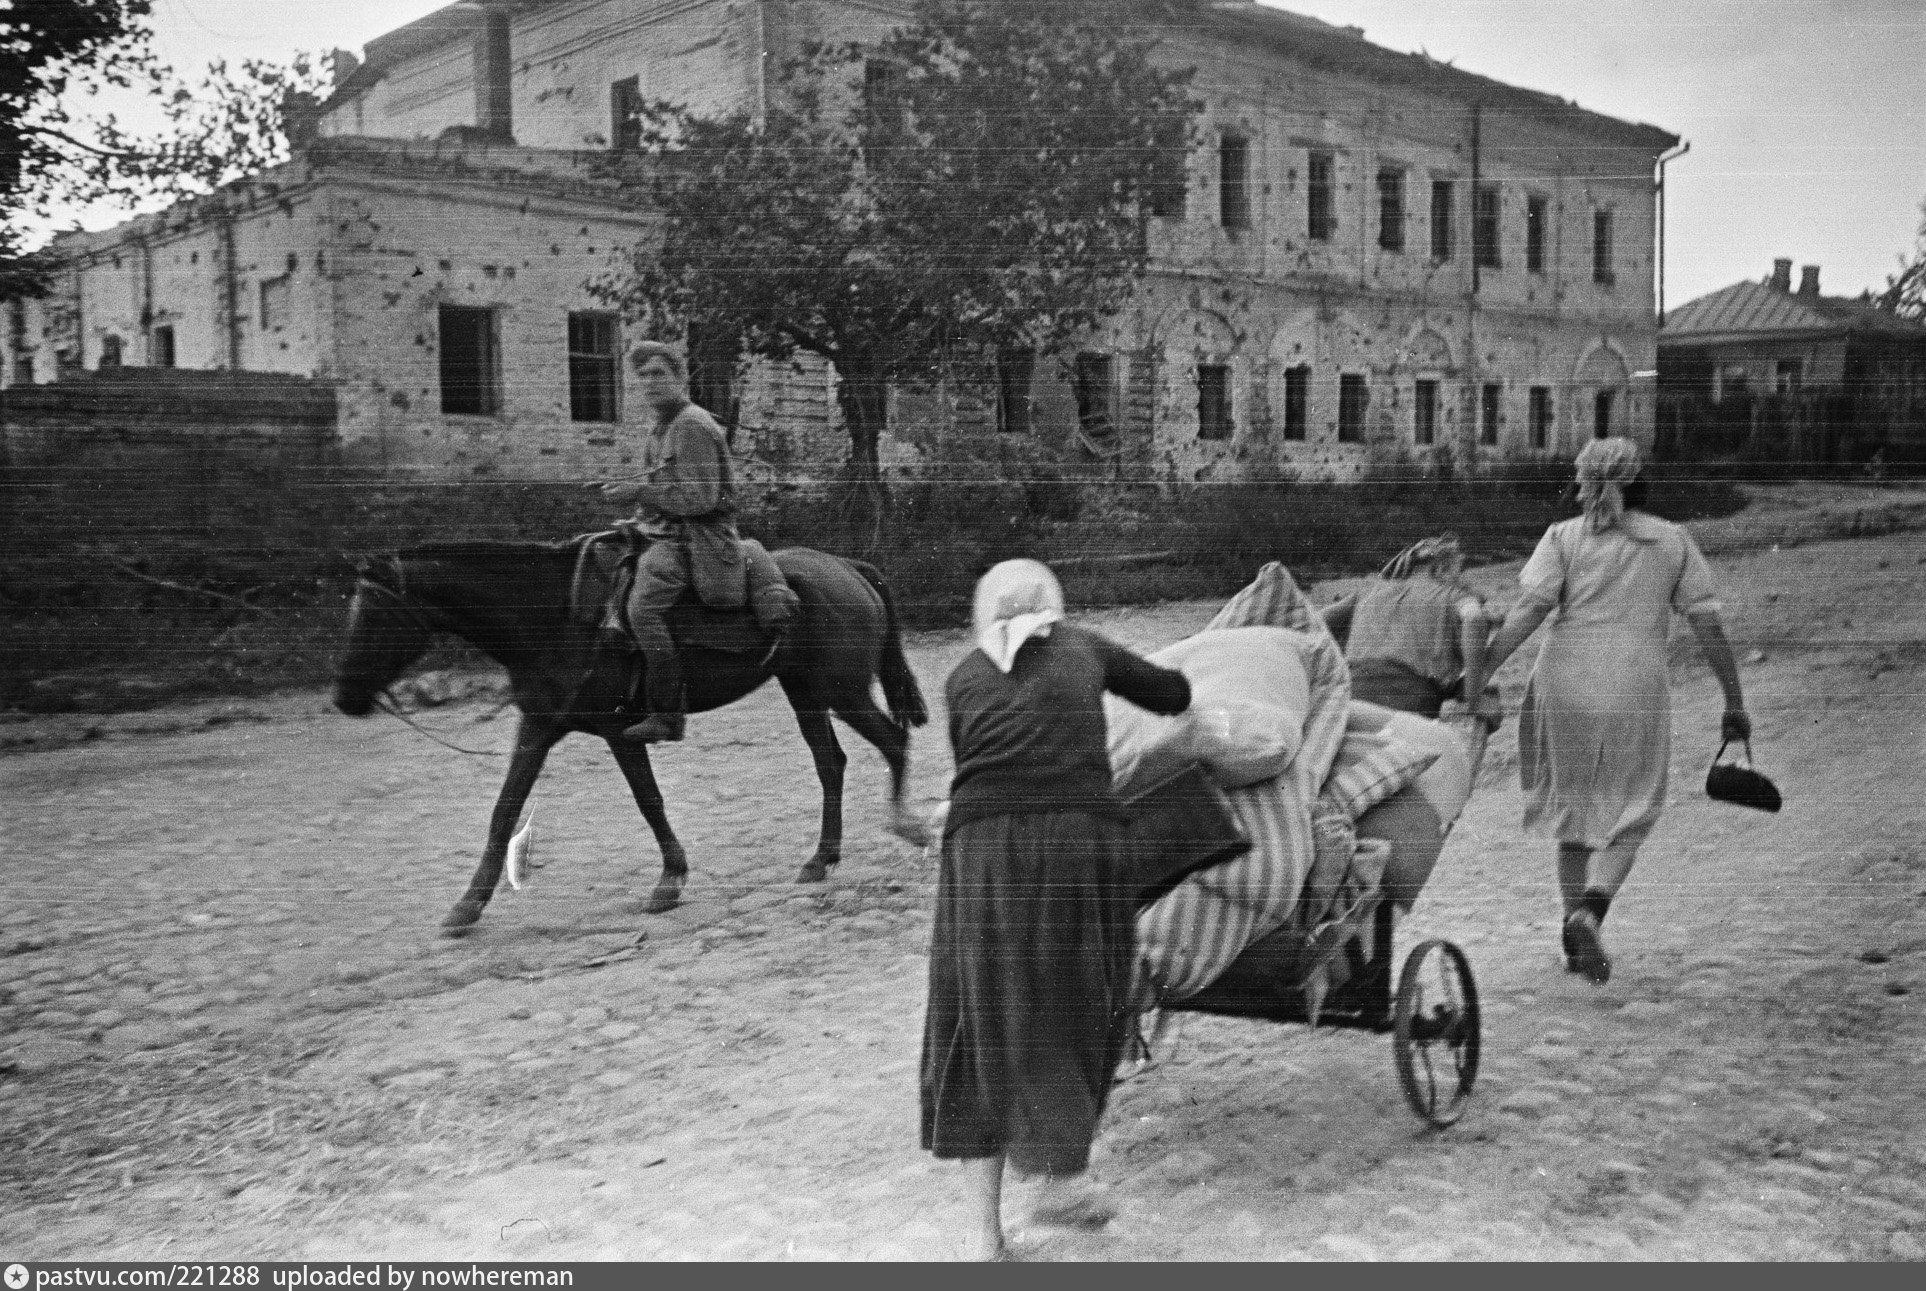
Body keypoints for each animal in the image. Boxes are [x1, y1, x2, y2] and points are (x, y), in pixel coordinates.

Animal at [333, 539, 932, 936]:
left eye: (374, 613)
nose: (341, 697)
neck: (558, 618)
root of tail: (847, 567)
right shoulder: (540, 725)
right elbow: (505, 810)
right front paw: (467, 906)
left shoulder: (618, 729)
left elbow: (649, 800)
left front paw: (669, 881)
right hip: (805, 690)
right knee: (831, 763)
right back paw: (820, 859)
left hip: (840, 690)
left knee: (892, 743)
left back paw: (908, 826)